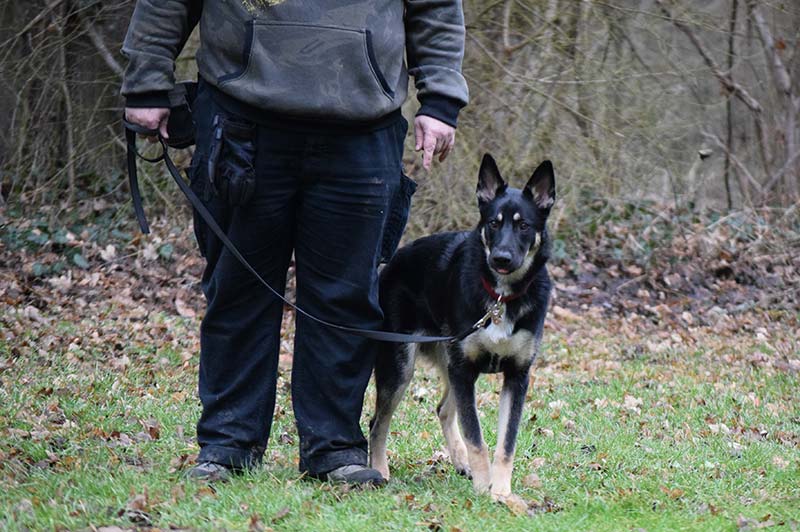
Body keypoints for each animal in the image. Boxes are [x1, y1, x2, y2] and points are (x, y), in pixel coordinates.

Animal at [370, 154, 552, 498]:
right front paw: (483, 489)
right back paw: (379, 470)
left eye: (524, 226)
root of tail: (394, 261)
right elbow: (477, 438)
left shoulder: (516, 376)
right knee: (378, 422)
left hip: (452, 366)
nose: (501, 259)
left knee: (443, 409)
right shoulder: (464, 370)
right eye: (493, 223)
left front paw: (501, 492)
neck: (500, 297)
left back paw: (460, 462)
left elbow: (506, 443)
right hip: (401, 367)